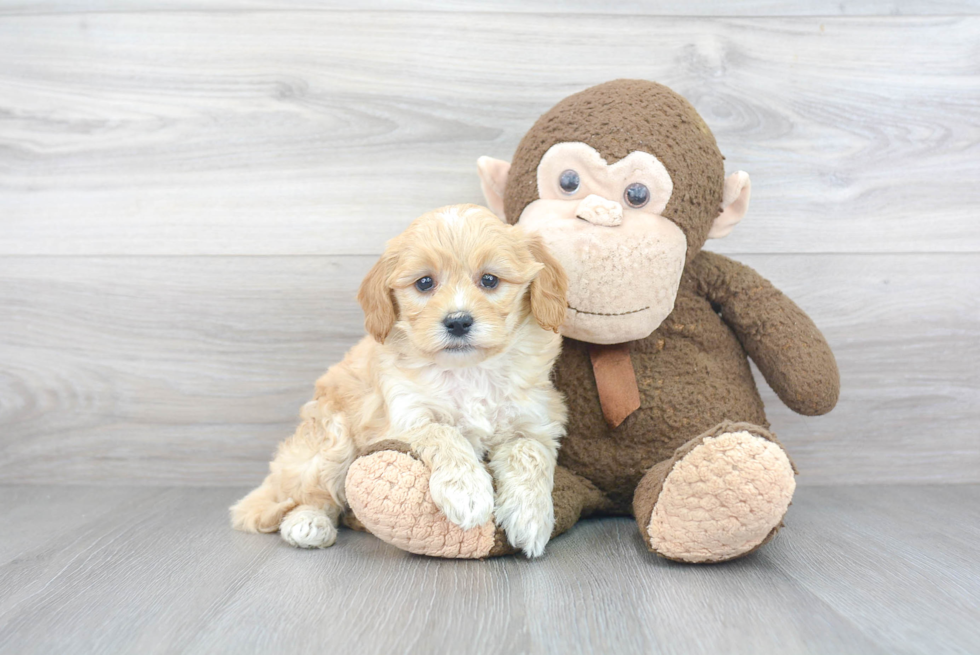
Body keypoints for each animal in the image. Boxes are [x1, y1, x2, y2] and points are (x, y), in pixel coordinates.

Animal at [232, 204, 568, 560]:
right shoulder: (404, 416)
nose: (458, 321)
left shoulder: (535, 420)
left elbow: (530, 454)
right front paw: (467, 492)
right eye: (425, 283)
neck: (469, 370)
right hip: (332, 439)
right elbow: (443, 432)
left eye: (489, 280)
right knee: (310, 496)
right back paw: (308, 523)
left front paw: (530, 517)